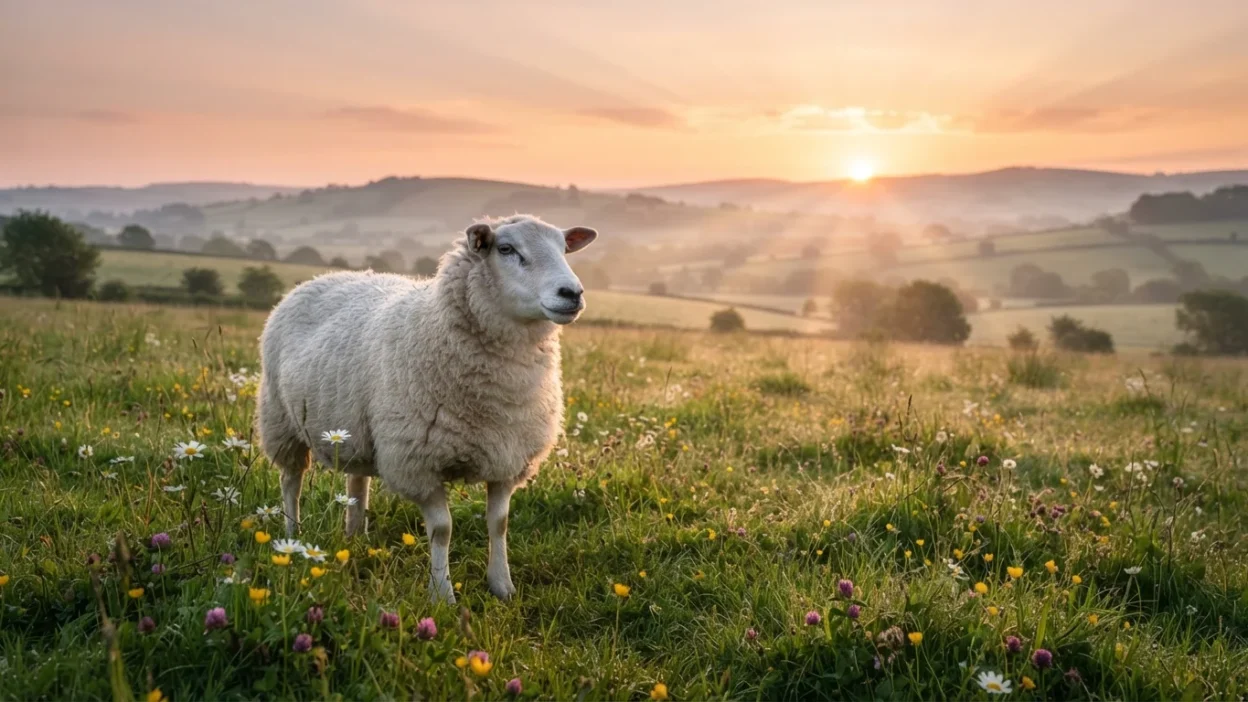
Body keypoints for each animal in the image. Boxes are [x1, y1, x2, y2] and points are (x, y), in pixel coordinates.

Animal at [255, 215, 597, 602]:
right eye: (507, 249)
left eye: (563, 249)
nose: (572, 293)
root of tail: (320, 278)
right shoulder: (418, 463)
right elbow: (442, 530)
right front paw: (442, 594)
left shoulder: (507, 458)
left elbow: (499, 524)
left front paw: (502, 586)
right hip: (280, 421)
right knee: (291, 481)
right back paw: (292, 535)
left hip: (359, 430)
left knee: (357, 482)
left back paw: (355, 537)